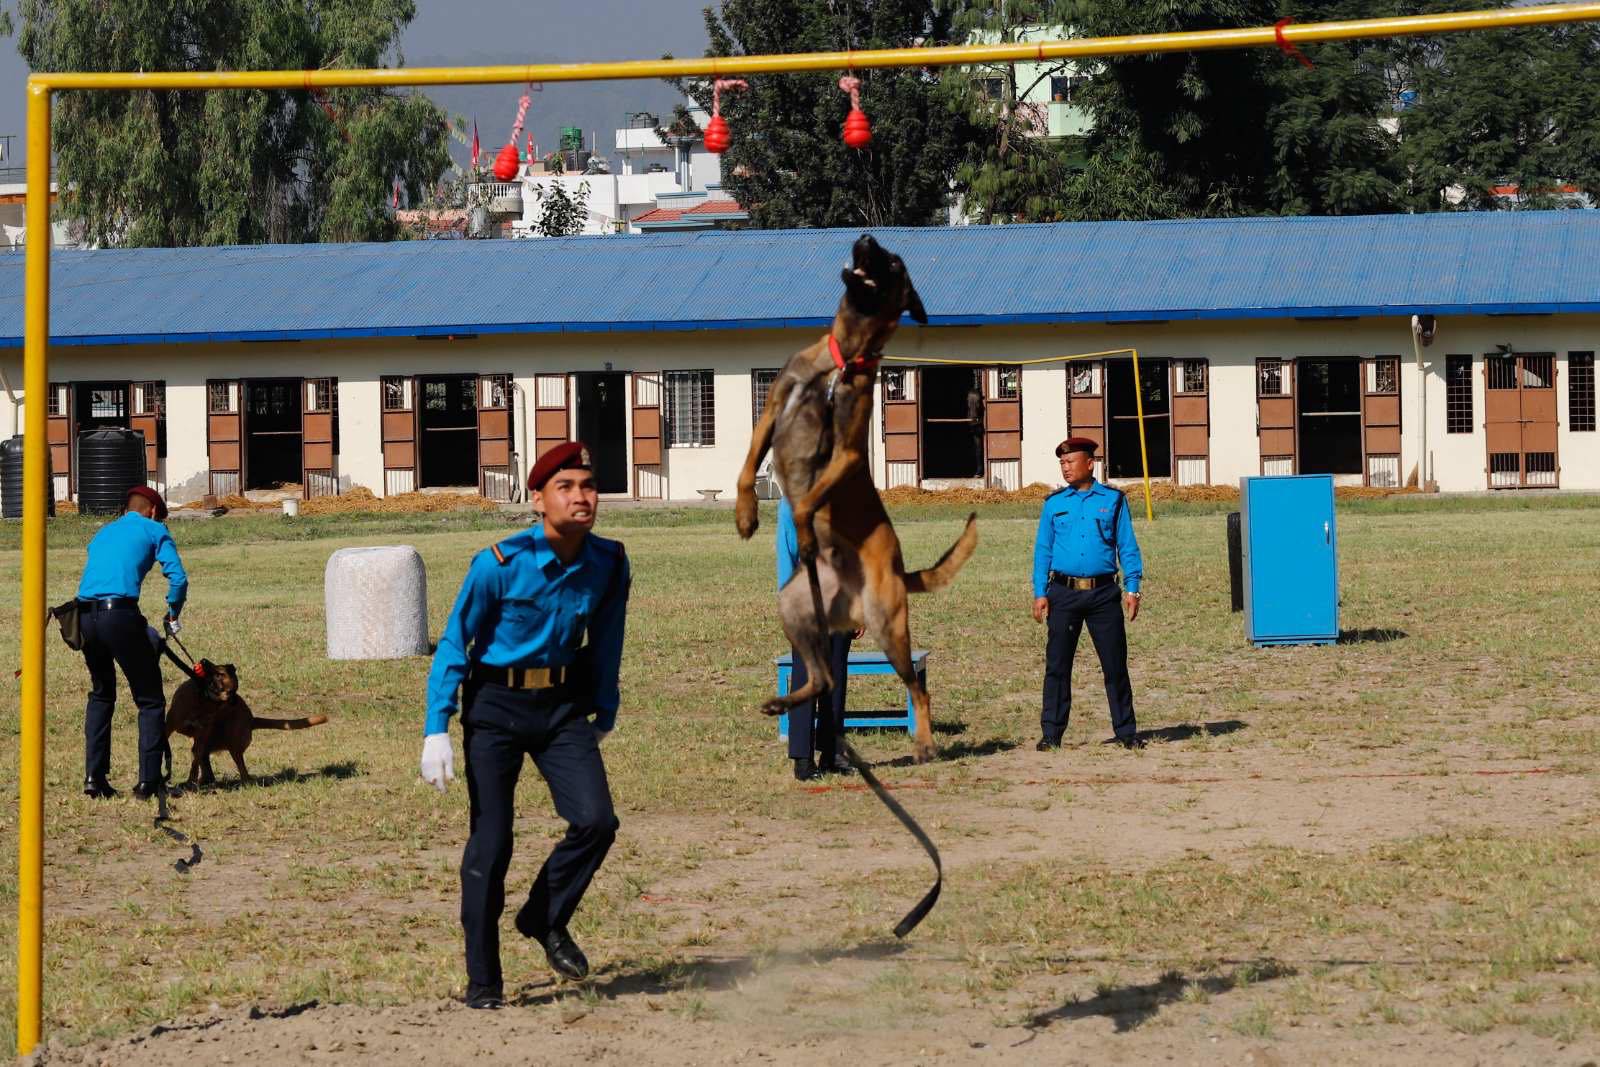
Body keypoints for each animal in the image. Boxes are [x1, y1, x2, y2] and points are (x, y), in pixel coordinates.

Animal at [164, 659, 328, 783]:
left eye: (221, 678)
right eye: (219, 670)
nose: (204, 661)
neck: (203, 699)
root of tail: (251, 719)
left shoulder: (201, 736)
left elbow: (194, 764)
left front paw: (190, 781)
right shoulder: (172, 724)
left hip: (234, 748)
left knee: (243, 773)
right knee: (207, 769)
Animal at [732, 235, 972, 767]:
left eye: (894, 261)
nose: (864, 237)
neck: (842, 360)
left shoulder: (844, 453)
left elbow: (806, 503)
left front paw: (802, 528)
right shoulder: (773, 409)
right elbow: (745, 468)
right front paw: (745, 514)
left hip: (888, 624)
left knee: (918, 689)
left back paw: (925, 743)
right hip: (796, 607)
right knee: (822, 679)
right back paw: (784, 700)